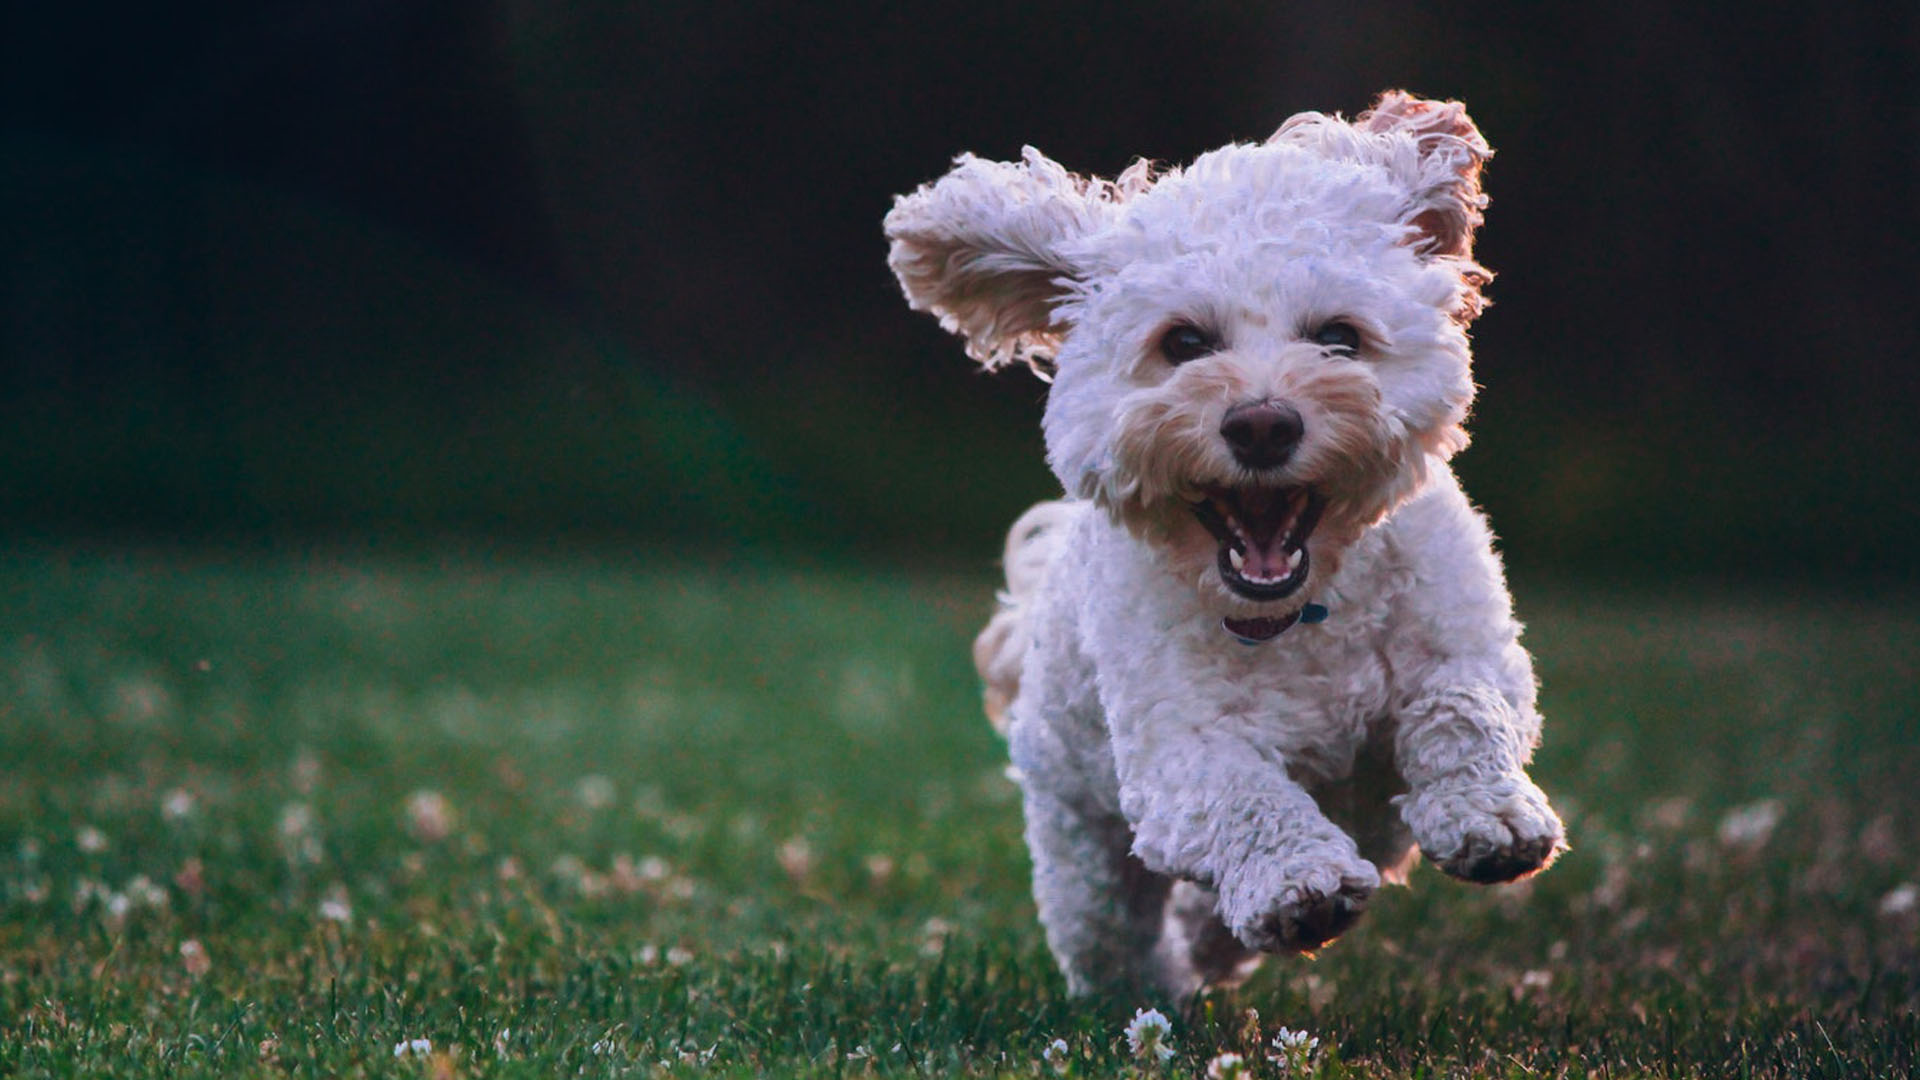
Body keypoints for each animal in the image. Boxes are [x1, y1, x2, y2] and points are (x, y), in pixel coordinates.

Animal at [883, 90, 1559, 991]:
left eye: (1338, 337)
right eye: (1183, 343)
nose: (1264, 424)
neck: (1303, 612)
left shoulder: (1468, 644)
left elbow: (1463, 708)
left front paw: (1489, 815)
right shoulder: (1178, 752)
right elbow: (1244, 796)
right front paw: (1298, 882)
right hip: (1079, 838)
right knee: (1108, 930)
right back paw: (1156, 983)